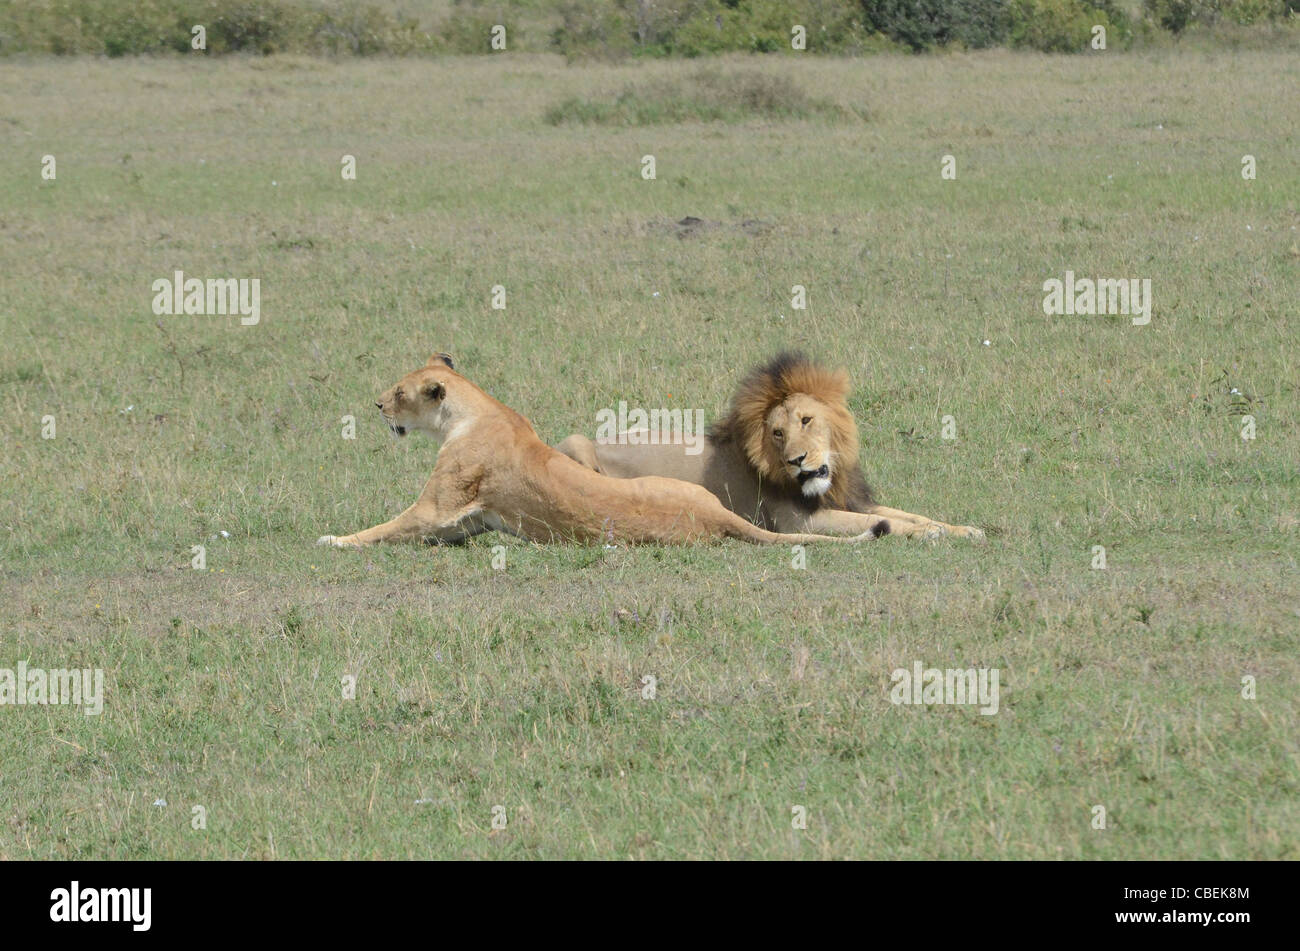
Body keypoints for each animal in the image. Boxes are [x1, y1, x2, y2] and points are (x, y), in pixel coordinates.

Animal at [316, 353, 890, 550]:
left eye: (398, 393)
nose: (376, 405)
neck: (474, 411)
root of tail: (713, 516)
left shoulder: (434, 509)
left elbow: (381, 529)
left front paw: (331, 539)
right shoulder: (462, 522)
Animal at [556, 352, 984, 541]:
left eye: (806, 420)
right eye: (777, 433)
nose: (797, 461)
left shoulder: (853, 501)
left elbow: (911, 514)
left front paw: (963, 529)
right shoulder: (799, 521)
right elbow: (890, 523)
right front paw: (933, 534)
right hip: (575, 443)